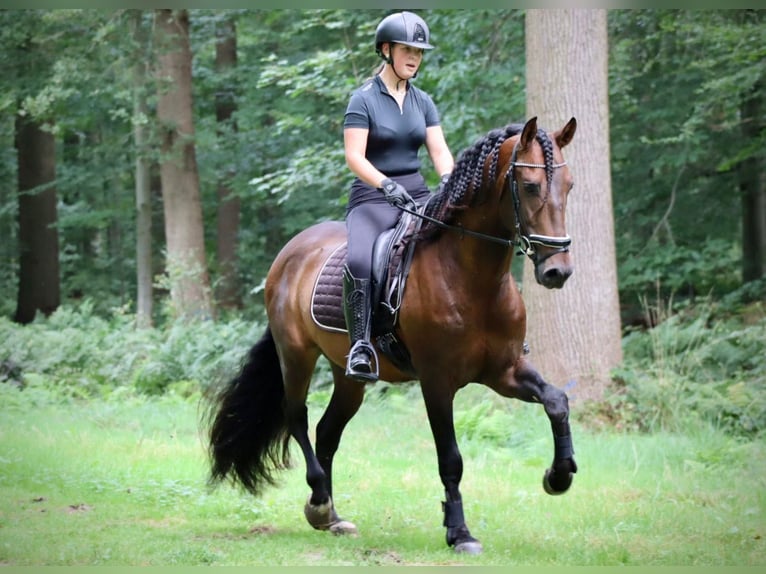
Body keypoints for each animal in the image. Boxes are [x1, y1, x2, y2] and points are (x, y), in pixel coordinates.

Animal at [205, 116, 579, 554]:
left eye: (569, 185)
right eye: (531, 186)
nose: (557, 271)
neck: (471, 276)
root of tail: (290, 252)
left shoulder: (504, 371)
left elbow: (556, 401)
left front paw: (559, 475)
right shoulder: (437, 381)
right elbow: (451, 458)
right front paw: (459, 532)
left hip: (348, 375)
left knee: (327, 431)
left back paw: (331, 516)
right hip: (296, 355)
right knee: (297, 417)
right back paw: (319, 503)